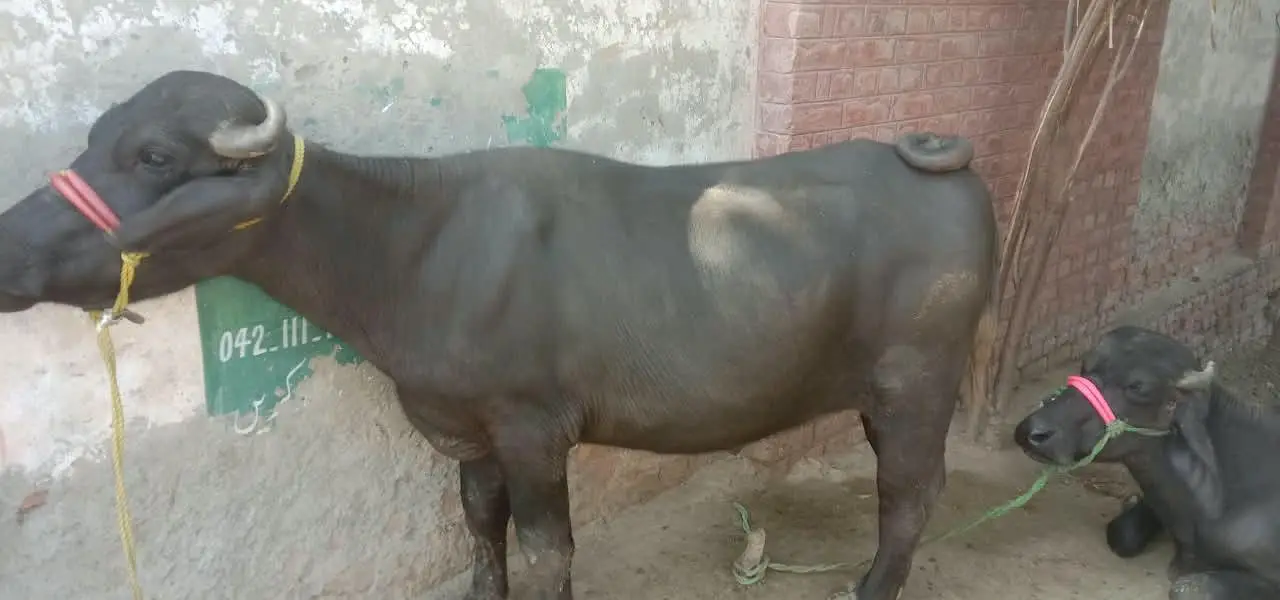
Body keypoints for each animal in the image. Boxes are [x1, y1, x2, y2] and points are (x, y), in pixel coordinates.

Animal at [0, 70, 999, 600]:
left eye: (156, 156)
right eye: (95, 138)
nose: (8, 247)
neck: (414, 250)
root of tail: (936, 162)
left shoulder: (533, 427)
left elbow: (547, 545)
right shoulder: (464, 428)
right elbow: (479, 524)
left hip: (917, 381)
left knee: (910, 492)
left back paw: (870, 588)